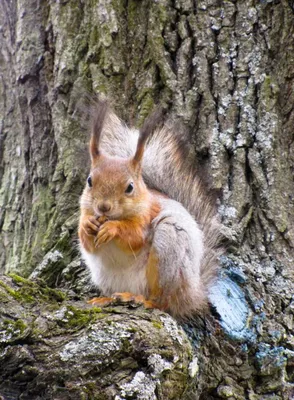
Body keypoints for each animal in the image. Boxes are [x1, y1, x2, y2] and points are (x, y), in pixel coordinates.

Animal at [78, 101, 223, 322]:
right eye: (89, 181)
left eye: (130, 187)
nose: (103, 207)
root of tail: (192, 293)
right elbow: (86, 241)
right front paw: (88, 225)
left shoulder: (147, 217)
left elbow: (134, 237)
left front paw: (112, 228)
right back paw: (107, 298)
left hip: (168, 250)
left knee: (163, 301)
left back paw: (142, 300)